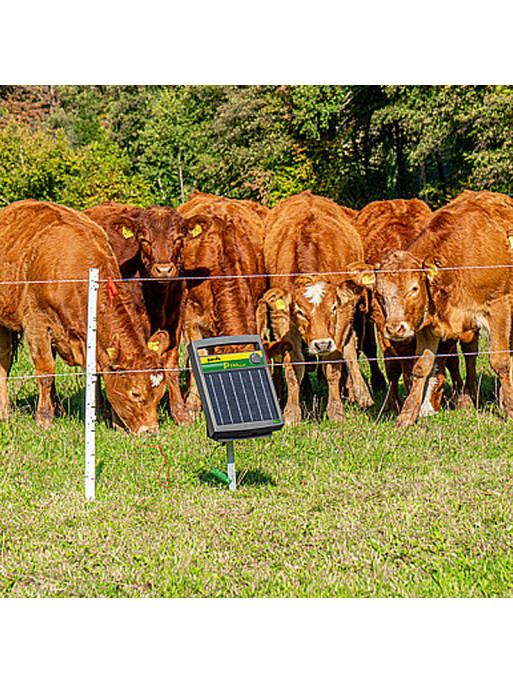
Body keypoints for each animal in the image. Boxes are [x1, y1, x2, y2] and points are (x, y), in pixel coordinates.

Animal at [0, 199, 170, 432]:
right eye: (136, 394)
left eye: (160, 393)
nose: (151, 432)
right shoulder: (36, 322)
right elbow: (46, 372)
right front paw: (44, 420)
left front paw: (106, 418)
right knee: (4, 361)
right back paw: (5, 412)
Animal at [84, 199, 192, 422]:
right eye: (144, 240)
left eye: (178, 238)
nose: (164, 270)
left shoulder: (176, 319)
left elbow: (171, 365)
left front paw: (180, 413)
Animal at [256, 187, 372, 422]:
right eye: (300, 312)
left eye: (333, 308)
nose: (321, 345)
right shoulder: (285, 323)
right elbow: (293, 368)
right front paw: (292, 413)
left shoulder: (340, 319)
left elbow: (334, 366)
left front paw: (336, 411)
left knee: (350, 348)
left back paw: (360, 393)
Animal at [372, 190, 512, 428]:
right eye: (379, 293)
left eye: (414, 288)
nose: (394, 329)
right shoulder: (429, 326)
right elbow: (421, 367)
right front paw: (407, 415)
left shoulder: (499, 307)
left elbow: (500, 362)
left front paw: (509, 408)